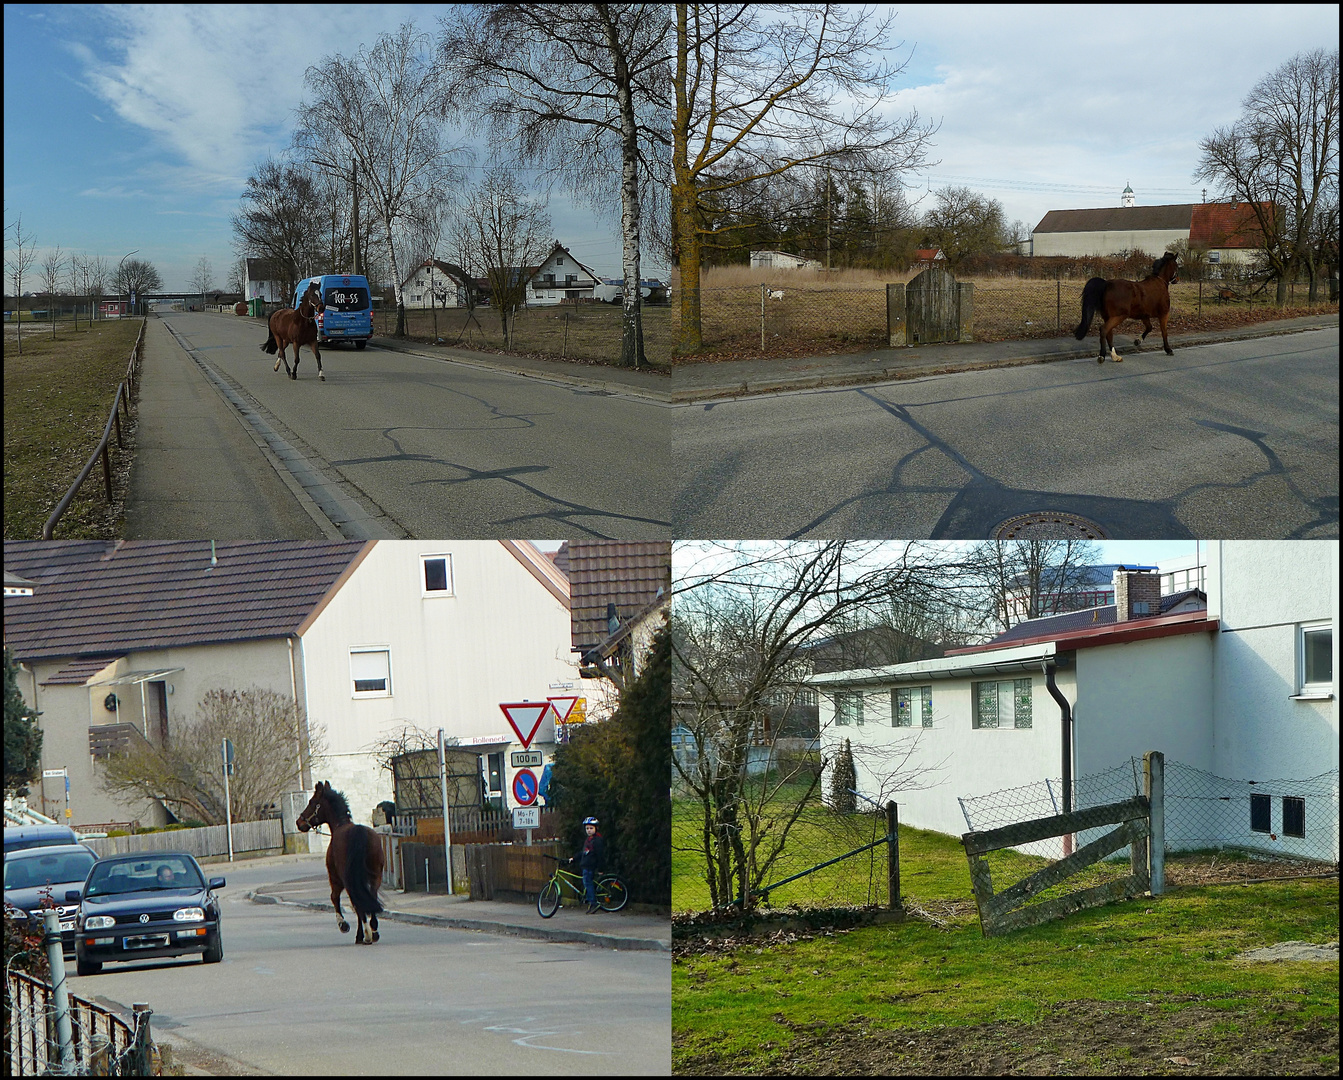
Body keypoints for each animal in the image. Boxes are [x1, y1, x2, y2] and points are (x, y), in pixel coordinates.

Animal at [292, 779, 378, 940]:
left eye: (312, 802)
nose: (299, 822)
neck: (340, 825)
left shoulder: (336, 878)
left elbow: (334, 897)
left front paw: (344, 925)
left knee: (355, 901)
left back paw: (366, 934)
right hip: (375, 877)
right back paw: (373, 930)